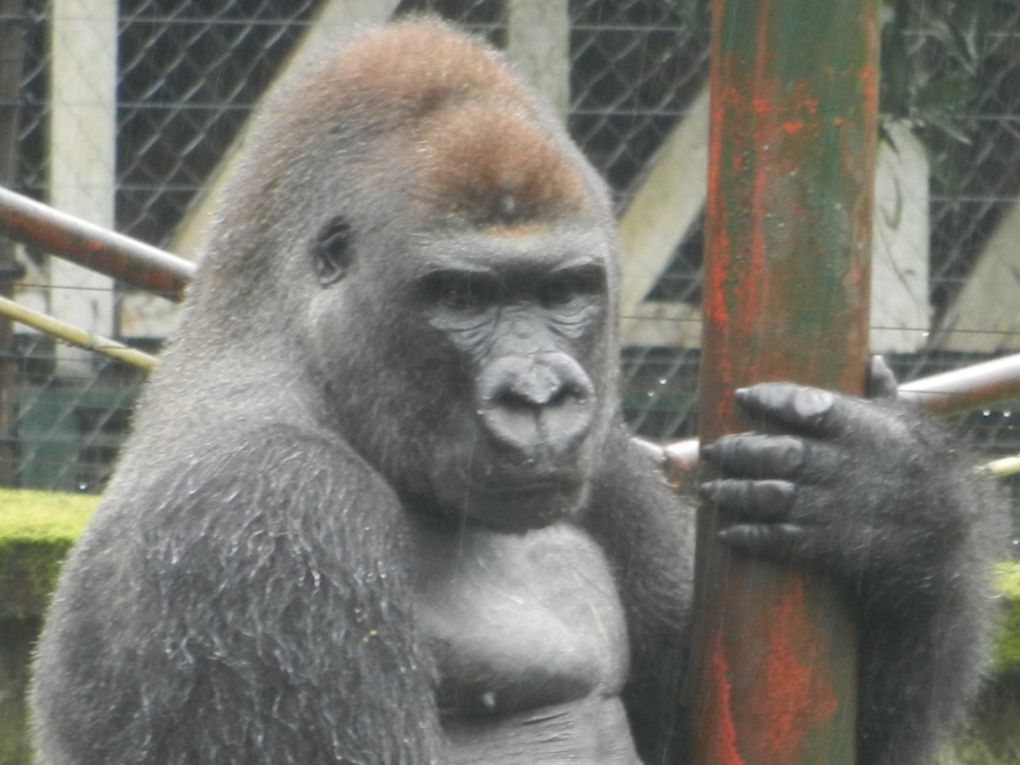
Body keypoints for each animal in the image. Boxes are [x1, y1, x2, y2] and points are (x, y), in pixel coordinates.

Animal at [27, 16, 999, 765]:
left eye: (563, 290)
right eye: (462, 298)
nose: (538, 394)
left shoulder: (614, 456)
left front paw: (897, 501)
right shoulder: (267, 511)